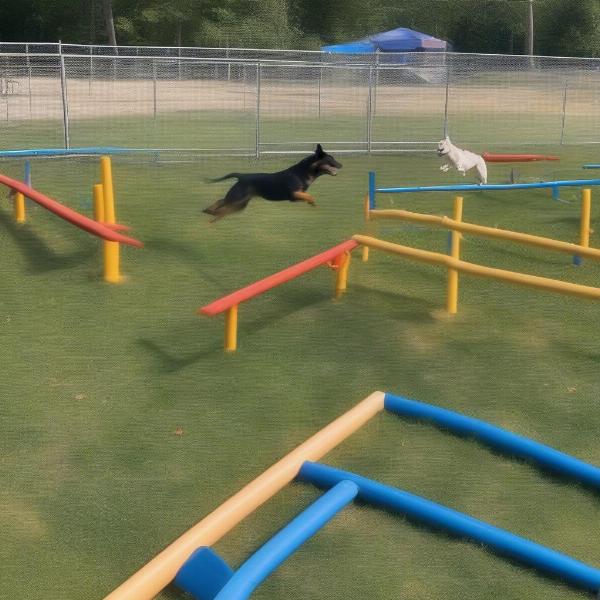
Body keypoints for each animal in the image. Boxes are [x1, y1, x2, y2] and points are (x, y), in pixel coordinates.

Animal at [203, 144, 340, 221]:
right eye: (331, 159)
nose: (341, 165)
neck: (301, 173)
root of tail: (242, 176)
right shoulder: (293, 194)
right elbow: (310, 196)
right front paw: (312, 202)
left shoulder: (296, 197)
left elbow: (308, 196)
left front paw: (312, 203)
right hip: (237, 199)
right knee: (222, 206)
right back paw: (212, 213)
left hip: (240, 203)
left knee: (221, 204)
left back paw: (210, 213)